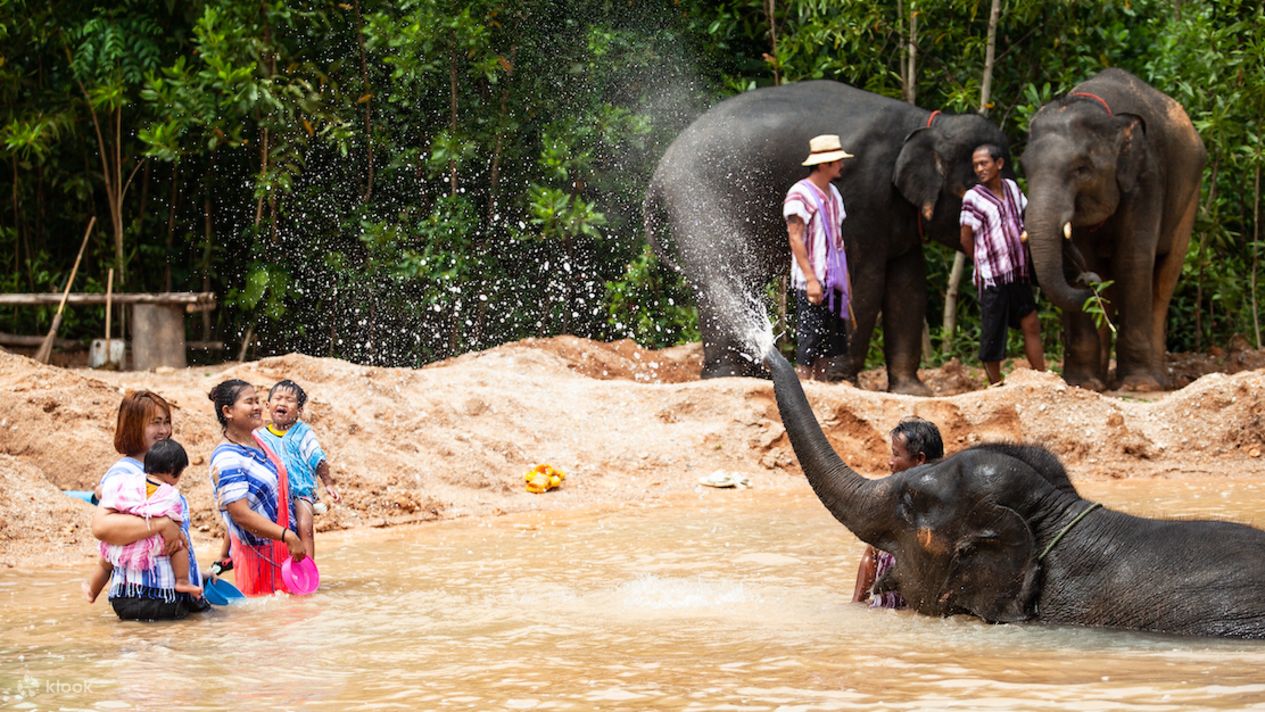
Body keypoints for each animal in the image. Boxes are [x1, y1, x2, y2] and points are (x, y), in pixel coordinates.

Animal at [642, 83, 1006, 399]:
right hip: (702, 207)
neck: (927, 123)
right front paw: (841, 381)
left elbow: (908, 285)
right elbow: (864, 279)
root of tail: (659, 172)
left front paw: (913, 392)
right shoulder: (863, 194)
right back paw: (730, 377)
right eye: (978, 184)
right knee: (722, 281)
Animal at [1017, 69, 1204, 392]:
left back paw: (1158, 380)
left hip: (1189, 199)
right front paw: (1083, 384)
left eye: (1081, 169)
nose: (1089, 281)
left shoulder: (1146, 179)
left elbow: (1132, 261)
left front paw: (1138, 386)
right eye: (1025, 167)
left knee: (1165, 277)